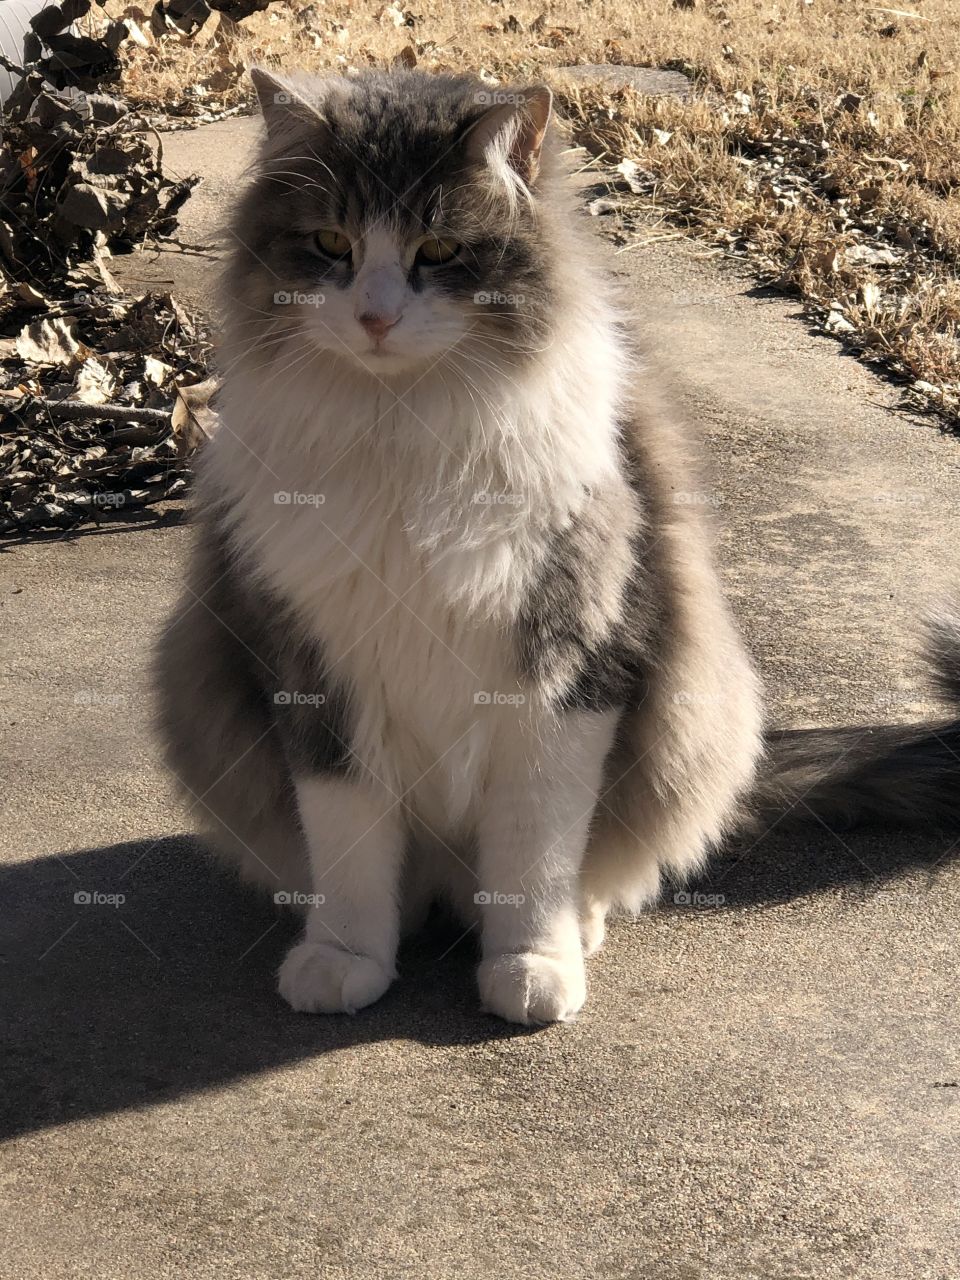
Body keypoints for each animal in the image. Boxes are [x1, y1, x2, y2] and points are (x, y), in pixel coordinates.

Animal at [154, 67, 960, 1029]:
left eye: (438, 250)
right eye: (329, 243)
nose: (376, 318)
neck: (404, 430)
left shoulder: (568, 663)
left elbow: (533, 848)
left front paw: (533, 963)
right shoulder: (313, 668)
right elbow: (348, 844)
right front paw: (347, 956)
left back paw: (578, 925)